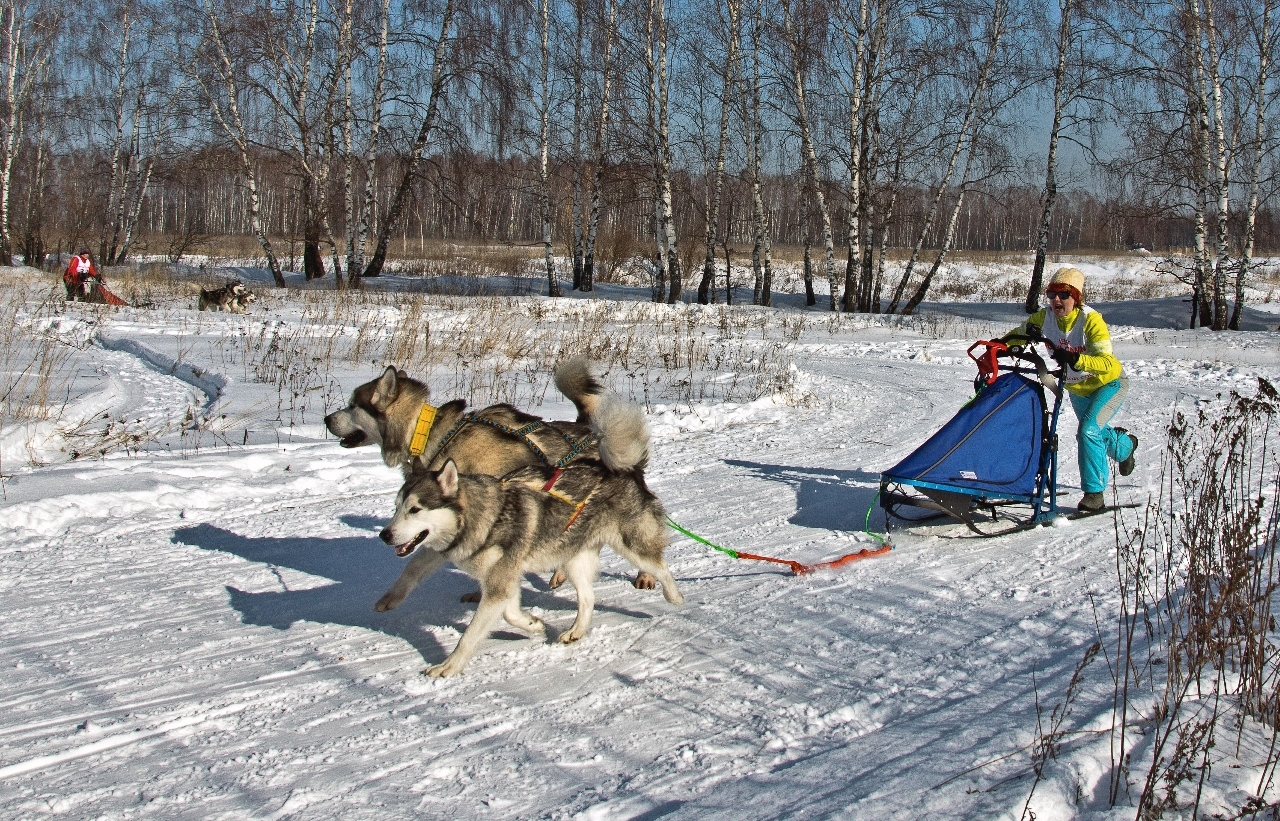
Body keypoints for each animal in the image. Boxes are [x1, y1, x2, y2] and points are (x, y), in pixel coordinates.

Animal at [376, 394, 686, 676]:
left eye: (415, 509)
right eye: (396, 507)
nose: (385, 535)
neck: (487, 518)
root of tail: (621, 469)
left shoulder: (499, 583)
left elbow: (470, 635)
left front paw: (447, 667)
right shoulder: (504, 580)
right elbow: (510, 612)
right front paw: (533, 624)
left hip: (631, 544)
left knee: (660, 566)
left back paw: (675, 597)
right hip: (573, 559)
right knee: (587, 598)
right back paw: (575, 631)